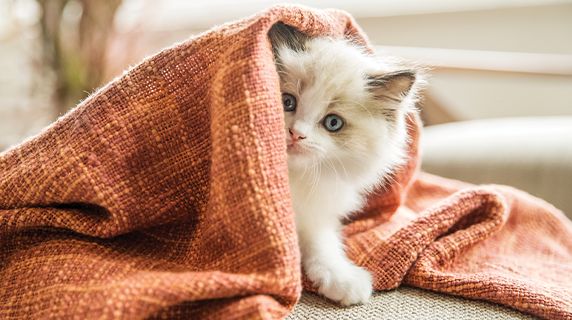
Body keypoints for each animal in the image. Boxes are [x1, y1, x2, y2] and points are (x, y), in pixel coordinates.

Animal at [268, 23, 420, 306]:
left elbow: (322, 244)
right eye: (287, 102)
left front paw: (340, 277)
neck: (293, 179)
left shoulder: (314, 212)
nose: (296, 134)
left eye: (333, 123)